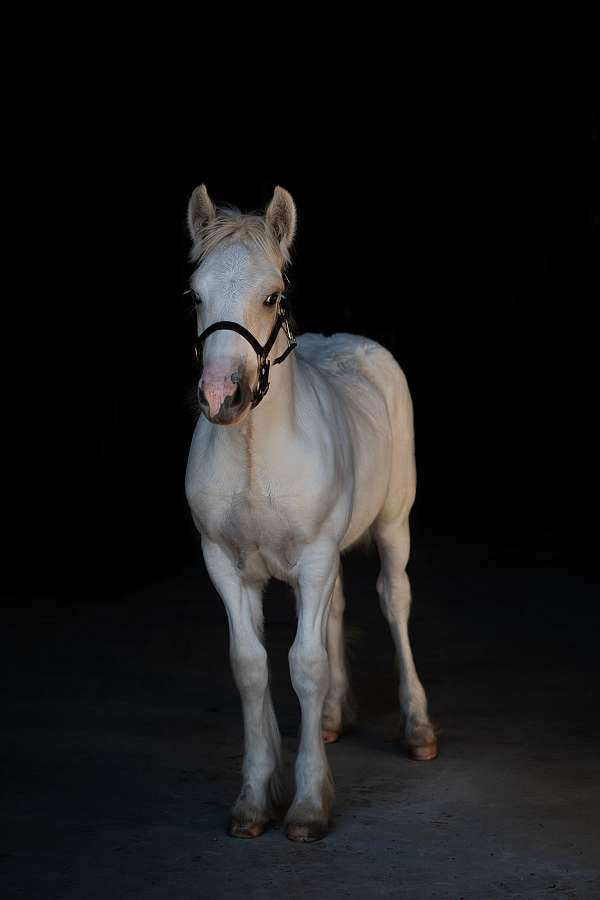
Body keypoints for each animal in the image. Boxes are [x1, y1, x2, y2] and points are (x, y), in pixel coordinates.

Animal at [183, 185, 436, 844]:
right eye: (195, 295)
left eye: (273, 295)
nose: (221, 396)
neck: (253, 454)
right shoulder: (223, 563)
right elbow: (251, 666)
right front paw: (255, 798)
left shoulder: (318, 554)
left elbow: (305, 664)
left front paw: (307, 805)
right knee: (337, 608)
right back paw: (331, 718)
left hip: (393, 524)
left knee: (393, 600)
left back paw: (419, 728)